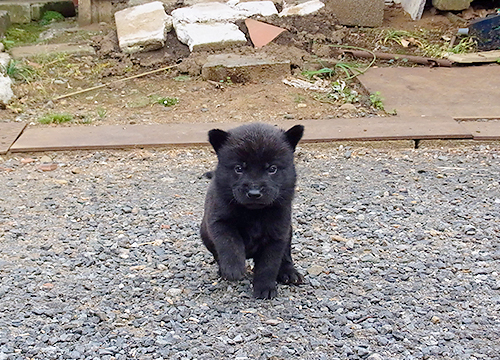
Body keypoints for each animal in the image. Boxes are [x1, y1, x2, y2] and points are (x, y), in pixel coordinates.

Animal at [200, 123, 302, 298]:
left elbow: (269, 264)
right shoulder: (220, 221)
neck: (254, 213)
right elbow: (230, 242)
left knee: (286, 256)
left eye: (272, 168)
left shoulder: (277, 234)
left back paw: (289, 273)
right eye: (239, 168)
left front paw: (265, 288)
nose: (254, 193)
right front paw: (233, 269)